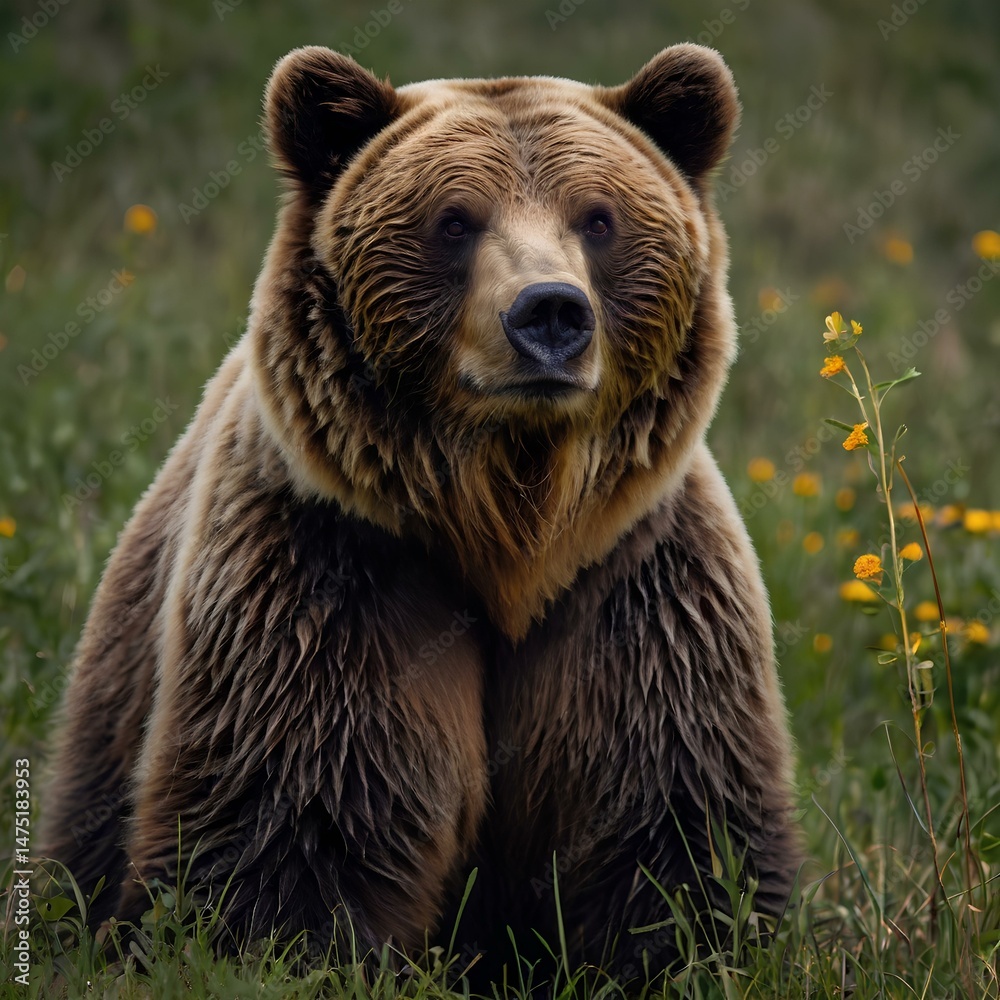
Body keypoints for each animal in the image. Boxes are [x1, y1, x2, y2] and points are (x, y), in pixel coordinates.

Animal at [40, 43, 801, 985]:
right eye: (454, 220)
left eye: (598, 218)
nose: (550, 313)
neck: (511, 528)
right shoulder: (332, 577)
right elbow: (294, 822)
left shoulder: (639, 594)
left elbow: (672, 823)